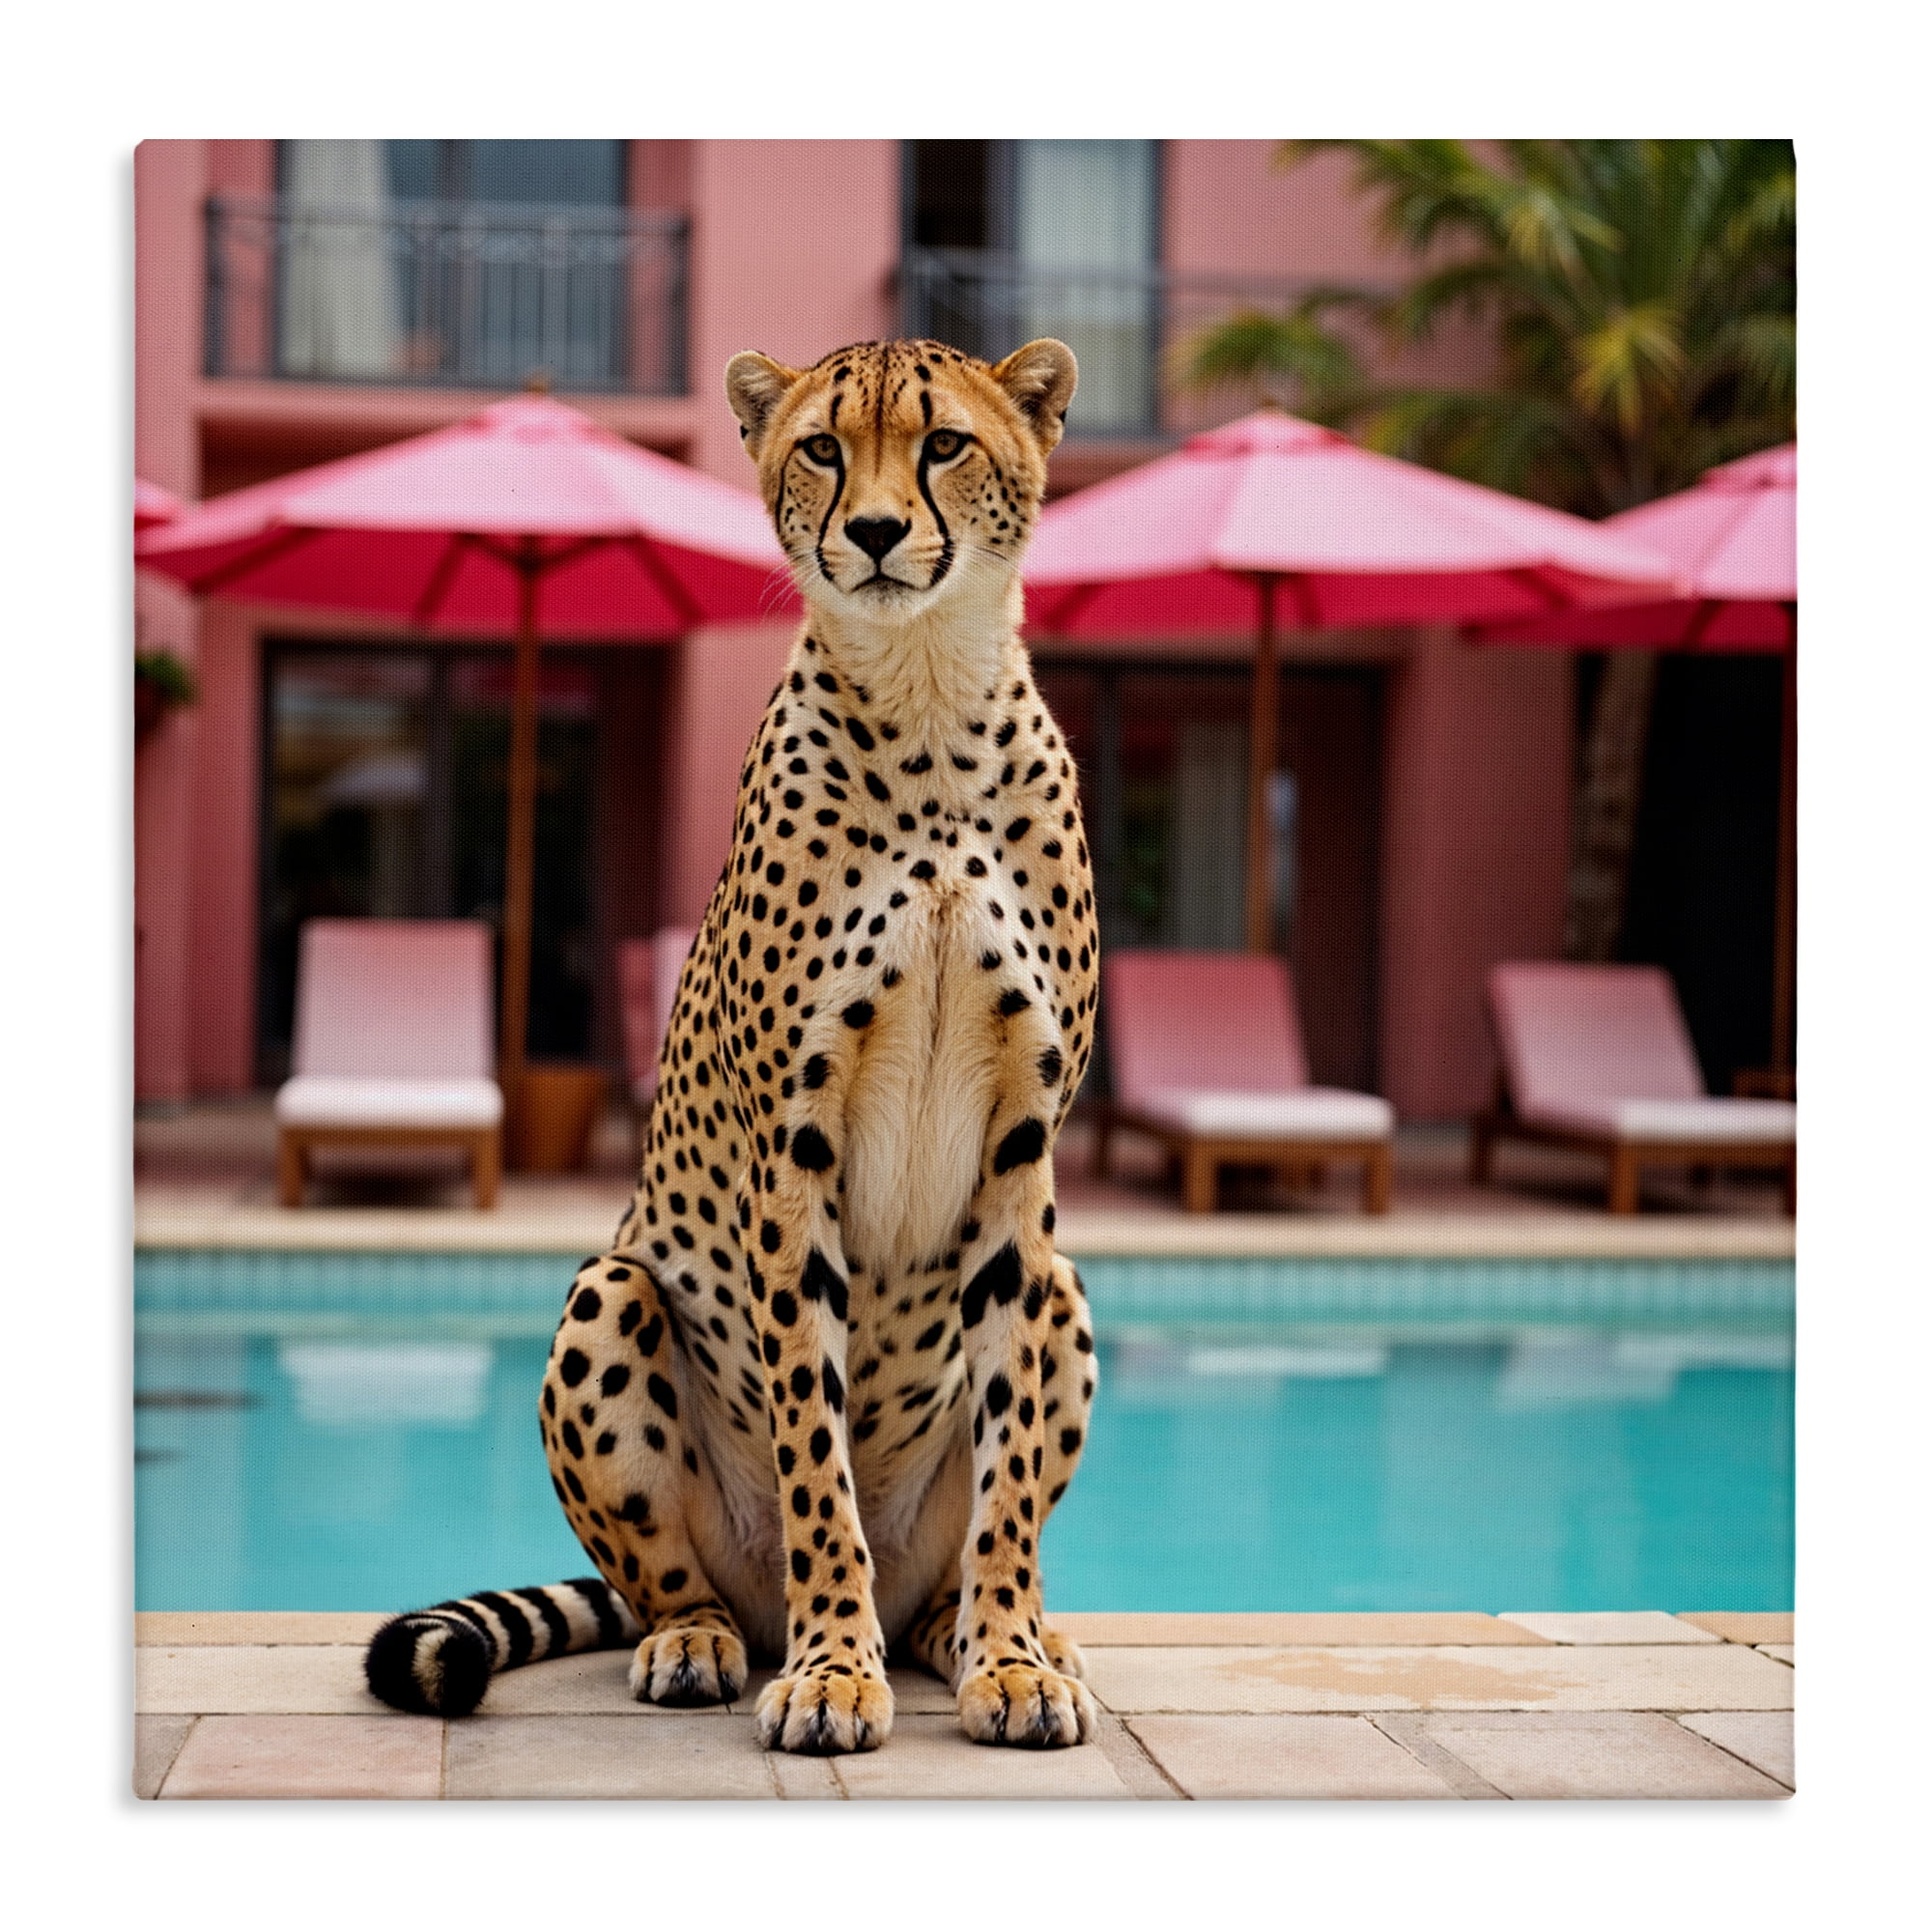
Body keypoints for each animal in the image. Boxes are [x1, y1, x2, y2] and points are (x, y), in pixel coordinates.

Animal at [366, 335, 1101, 1756]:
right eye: (821, 447)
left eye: (942, 444)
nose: (872, 532)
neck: (929, 699)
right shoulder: (792, 1150)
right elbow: (815, 1453)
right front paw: (830, 1670)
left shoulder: (1023, 1159)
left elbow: (1009, 1469)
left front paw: (1010, 1657)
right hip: (611, 1290)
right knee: (668, 1577)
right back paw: (707, 1639)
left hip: (1071, 1293)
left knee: (973, 1530)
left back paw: (991, 1631)